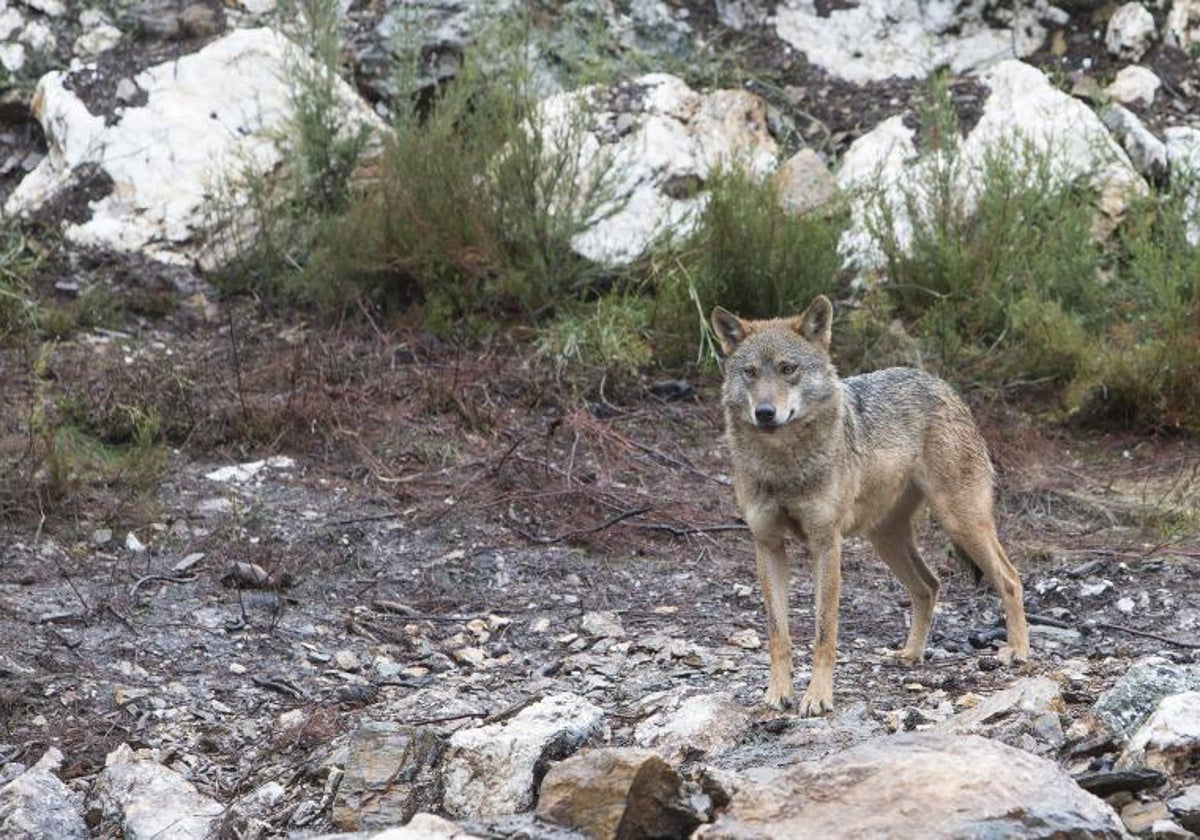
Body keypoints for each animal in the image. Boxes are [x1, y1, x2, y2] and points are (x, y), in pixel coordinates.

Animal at [710, 295, 1032, 715]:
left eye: (787, 369)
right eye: (750, 373)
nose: (764, 413)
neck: (782, 465)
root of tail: (942, 384)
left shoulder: (826, 544)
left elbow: (824, 633)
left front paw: (817, 697)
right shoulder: (768, 544)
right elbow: (778, 633)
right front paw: (777, 693)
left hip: (961, 522)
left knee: (1010, 578)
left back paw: (1018, 650)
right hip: (886, 540)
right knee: (930, 585)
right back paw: (911, 654)